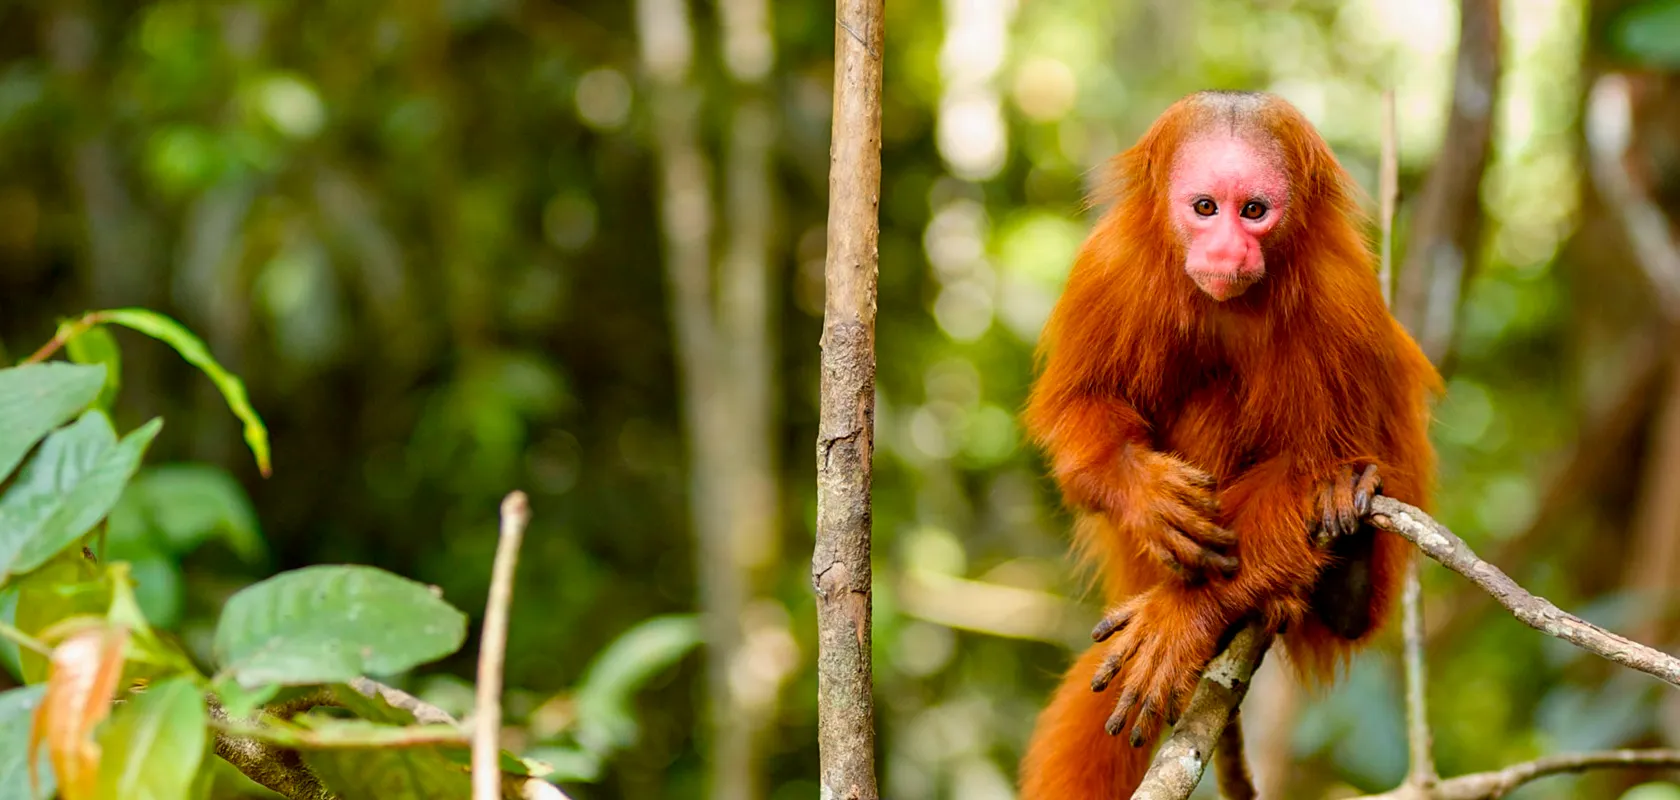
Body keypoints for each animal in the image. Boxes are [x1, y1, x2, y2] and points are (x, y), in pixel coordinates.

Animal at [1014, 90, 1438, 796]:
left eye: (1254, 212)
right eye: (1206, 208)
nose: (1227, 249)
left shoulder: (1341, 296)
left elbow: (1312, 465)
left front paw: (1183, 615)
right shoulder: (1108, 268)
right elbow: (1079, 413)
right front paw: (1146, 494)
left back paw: (1341, 585)